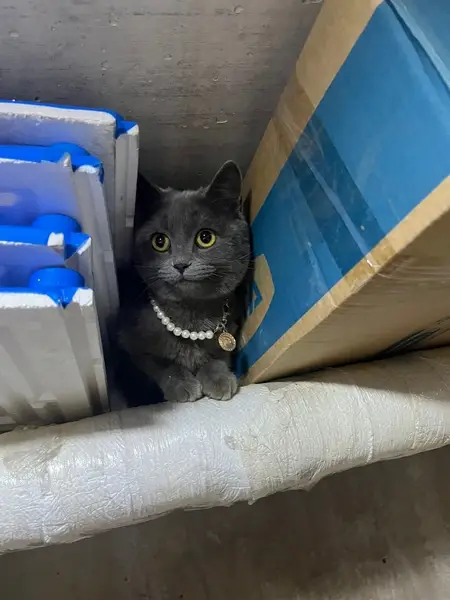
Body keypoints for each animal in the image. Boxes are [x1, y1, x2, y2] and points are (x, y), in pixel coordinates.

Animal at [118, 161, 251, 404]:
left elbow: (220, 355)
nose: (180, 264)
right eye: (159, 241)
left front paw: (218, 377)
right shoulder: (127, 342)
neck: (192, 316)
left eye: (205, 238)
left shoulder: (231, 324)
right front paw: (182, 383)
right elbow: (159, 362)